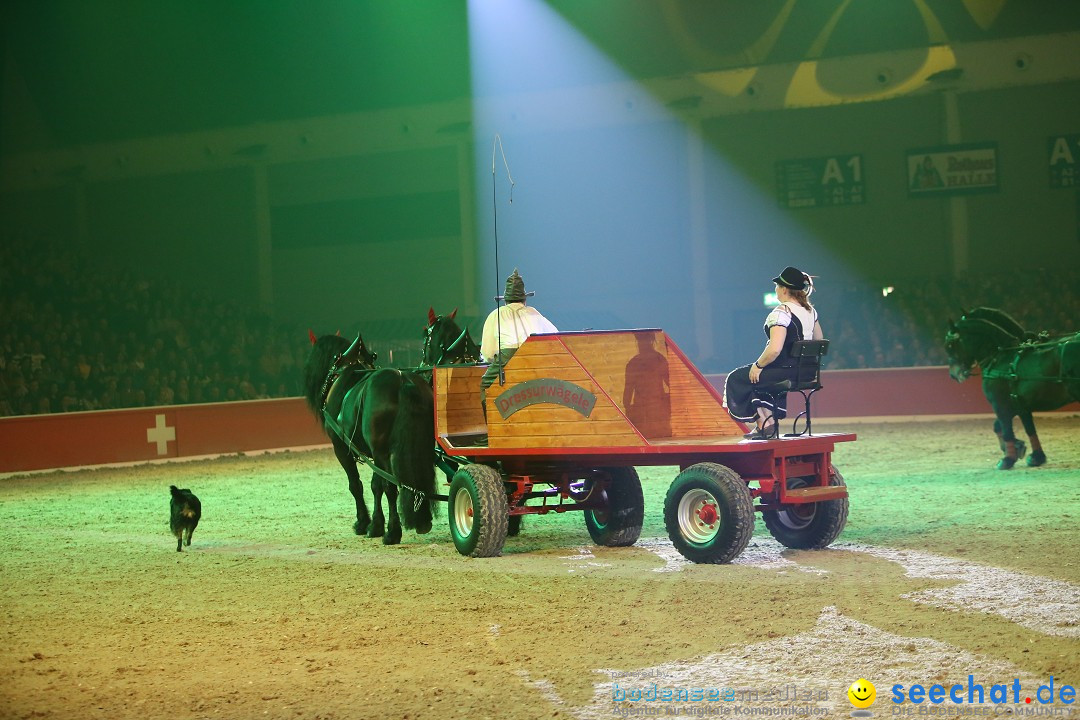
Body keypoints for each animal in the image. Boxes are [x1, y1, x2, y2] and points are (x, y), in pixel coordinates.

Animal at [302, 334, 436, 544]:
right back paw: (422, 521)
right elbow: (375, 486)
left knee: (391, 486)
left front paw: (364, 523)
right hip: (420, 447)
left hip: (379, 451)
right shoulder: (373, 455)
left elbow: (356, 485)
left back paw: (393, 532)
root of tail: (403, 379)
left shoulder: (342, 449)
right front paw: (375, 524)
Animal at [946, 306, 1080, 470]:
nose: (954, 374)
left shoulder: (1000, 403)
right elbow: (1024, 428)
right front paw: (1033, 455)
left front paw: (1007, 458)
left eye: (950, 345)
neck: (1001, 357)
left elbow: (1006, 428)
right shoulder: (1020, 404)